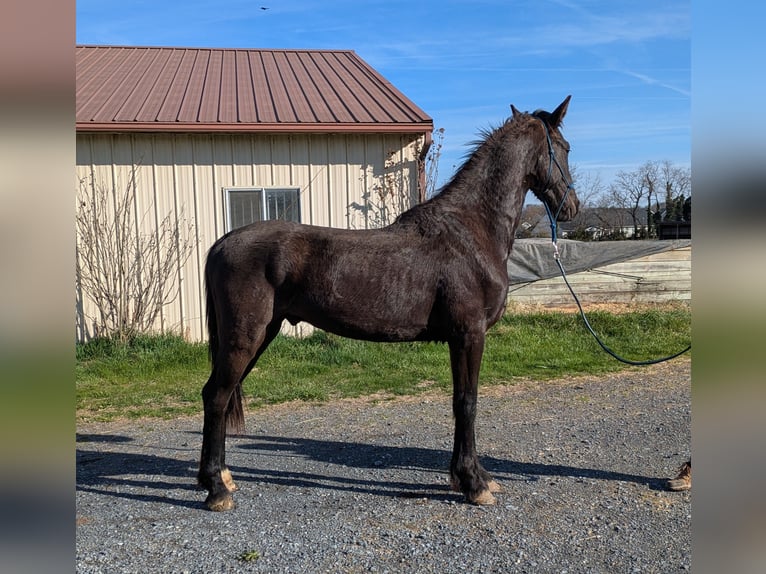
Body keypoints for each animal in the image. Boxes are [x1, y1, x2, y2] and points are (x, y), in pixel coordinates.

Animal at [198, 96, 579, 511]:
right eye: (565, 148)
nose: (572, 207)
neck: (470, 232)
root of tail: (222, 243)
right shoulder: (469, 335)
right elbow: (467, 403)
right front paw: (474, 483)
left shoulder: (460, 338)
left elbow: (460, 402)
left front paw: (472, 477)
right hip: (245, 337)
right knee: (216, 396)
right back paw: (216, 489)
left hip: (260, 335)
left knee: (218, 395)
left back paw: (219, 477)